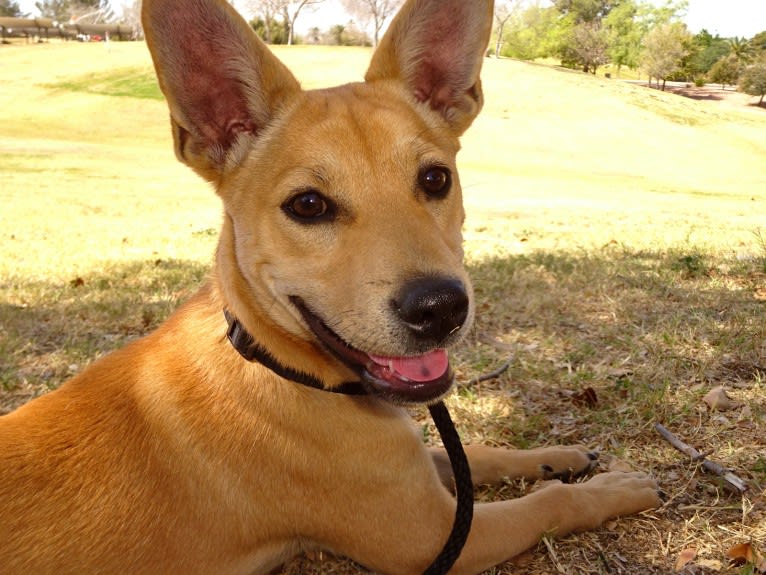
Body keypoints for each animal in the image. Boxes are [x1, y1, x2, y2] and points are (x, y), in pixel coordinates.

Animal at [0, 1, 660, 575]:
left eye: (435, 179)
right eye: (308, 205)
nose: (441, 308)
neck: (273, 363)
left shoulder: (419, 476)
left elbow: (479, 455)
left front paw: (561, 457)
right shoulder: (434, 537)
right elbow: (551, 503)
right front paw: (613, 488)